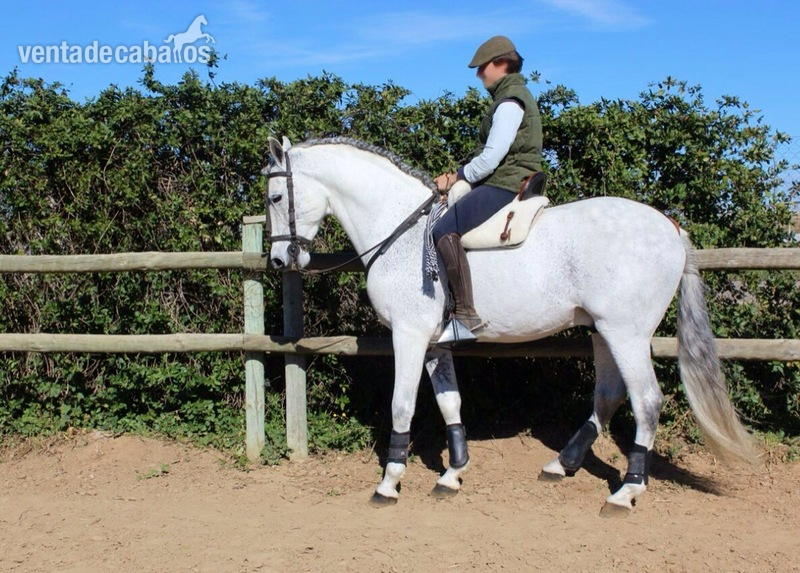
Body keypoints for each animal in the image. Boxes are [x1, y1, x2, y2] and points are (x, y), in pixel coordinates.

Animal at [264, 135, 754, 516]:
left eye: (275, 198)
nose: (280, 260)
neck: (399, 229)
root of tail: (670, 227)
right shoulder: (435, 343)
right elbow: (450, 402)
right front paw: (452, 473)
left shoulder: (408, 335)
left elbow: (402, 405)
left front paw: (389, 483)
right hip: (603, 332)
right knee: (609, 395)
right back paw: (561, 464)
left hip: (627, 334)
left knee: (647, 401)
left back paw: (626, 492)